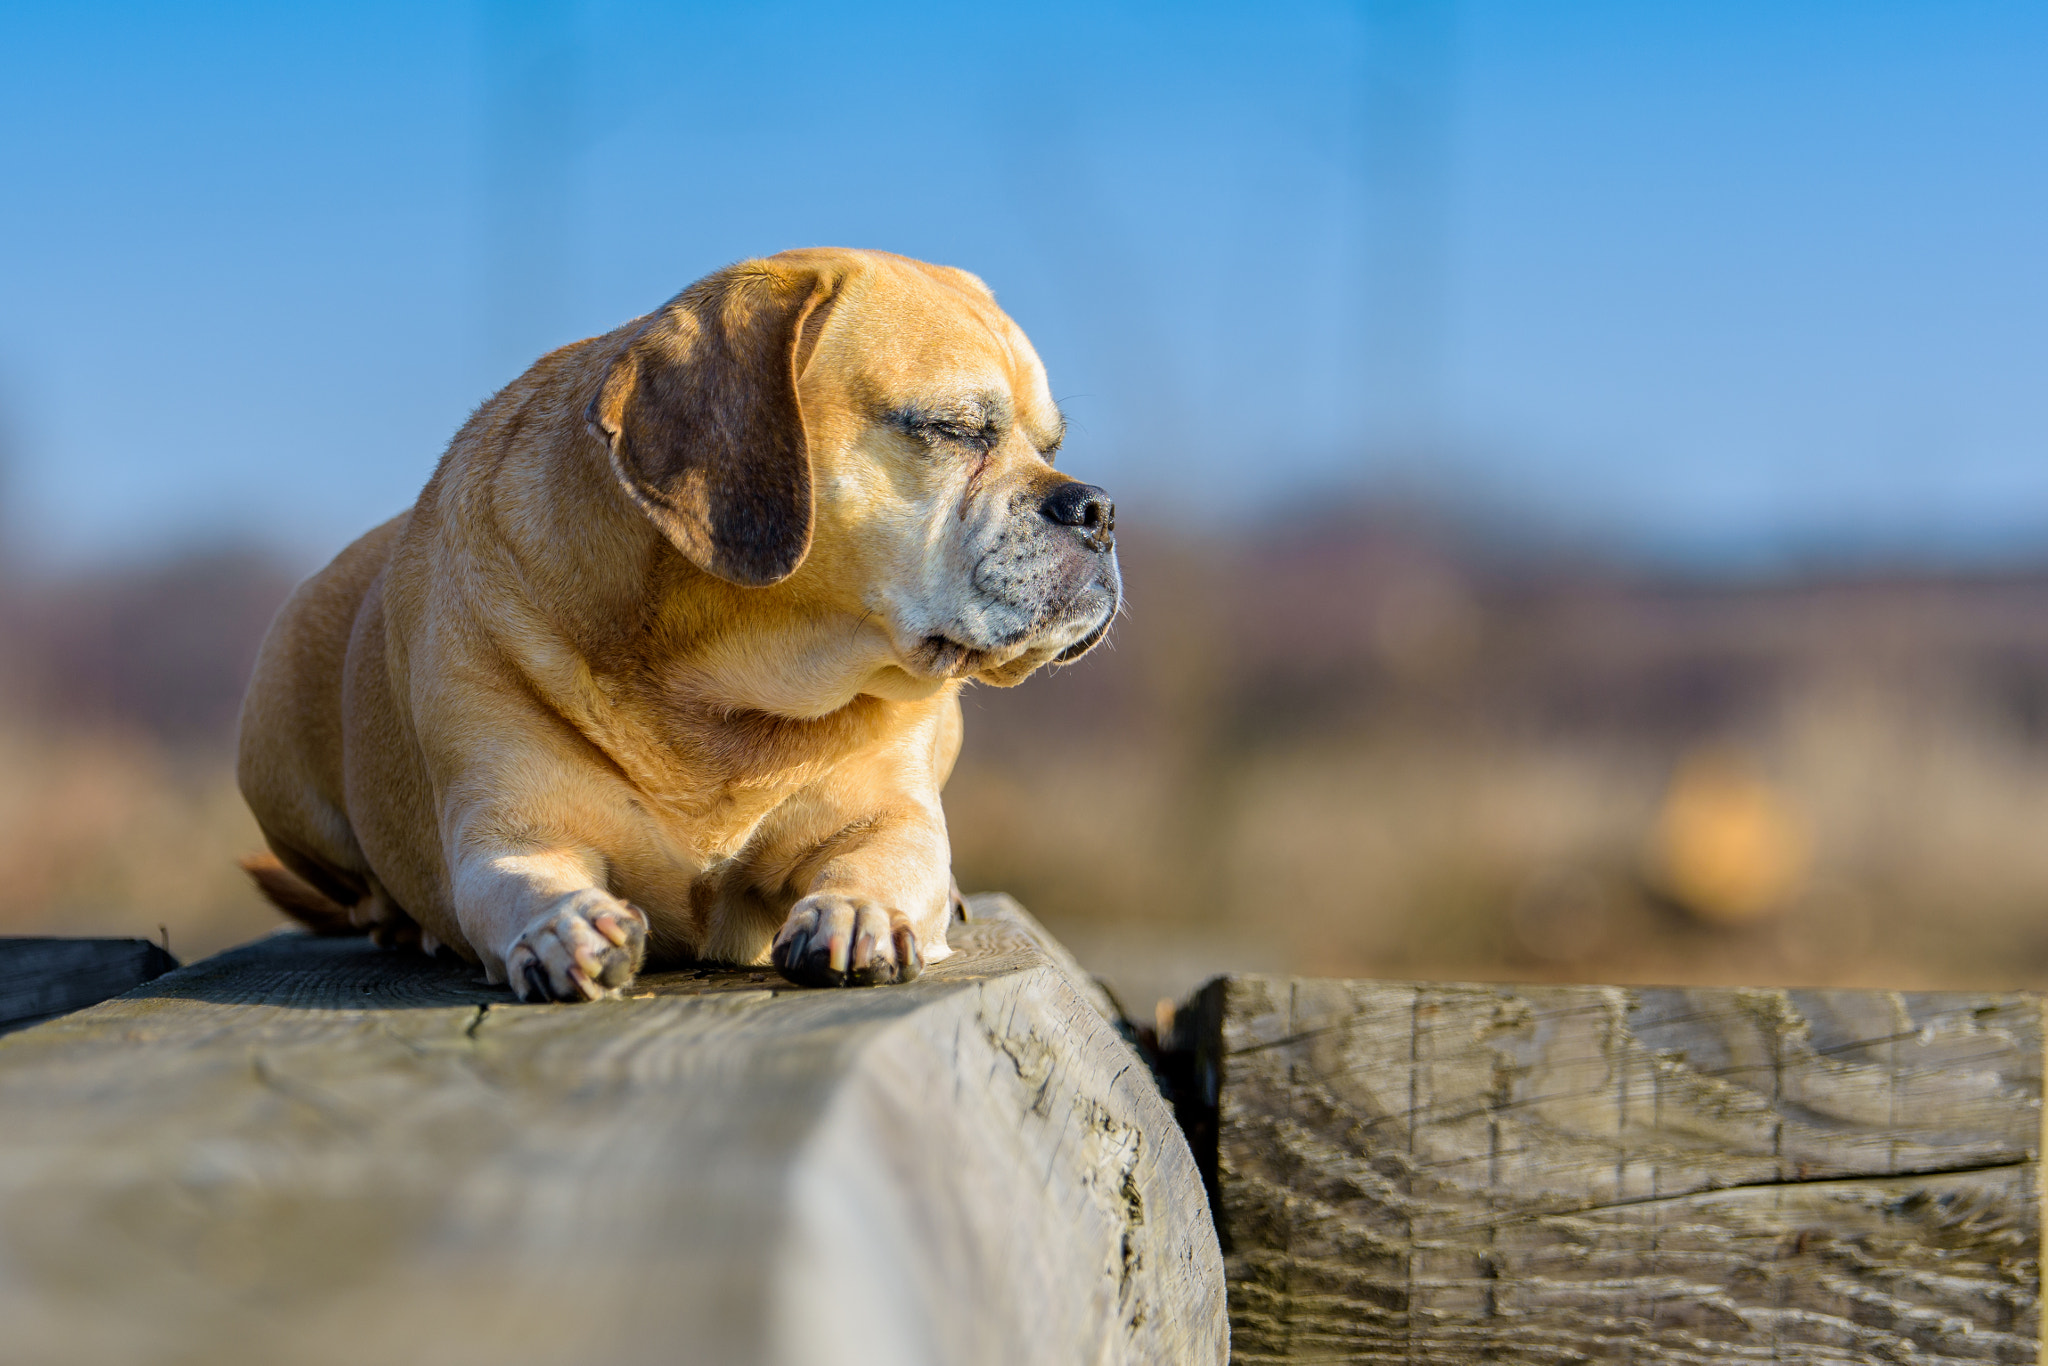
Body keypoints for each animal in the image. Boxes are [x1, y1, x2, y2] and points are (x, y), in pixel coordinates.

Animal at [235, 250, 1122, 999]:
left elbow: (888, 860)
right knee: (362, 896)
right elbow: (523, 884)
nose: (1098, 509)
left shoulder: (889, 816)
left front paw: (859, 911)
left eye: (1049, 447)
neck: (725, 685)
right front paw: (562, 928)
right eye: (951, 429)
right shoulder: (510, 833)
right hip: (274, 751)